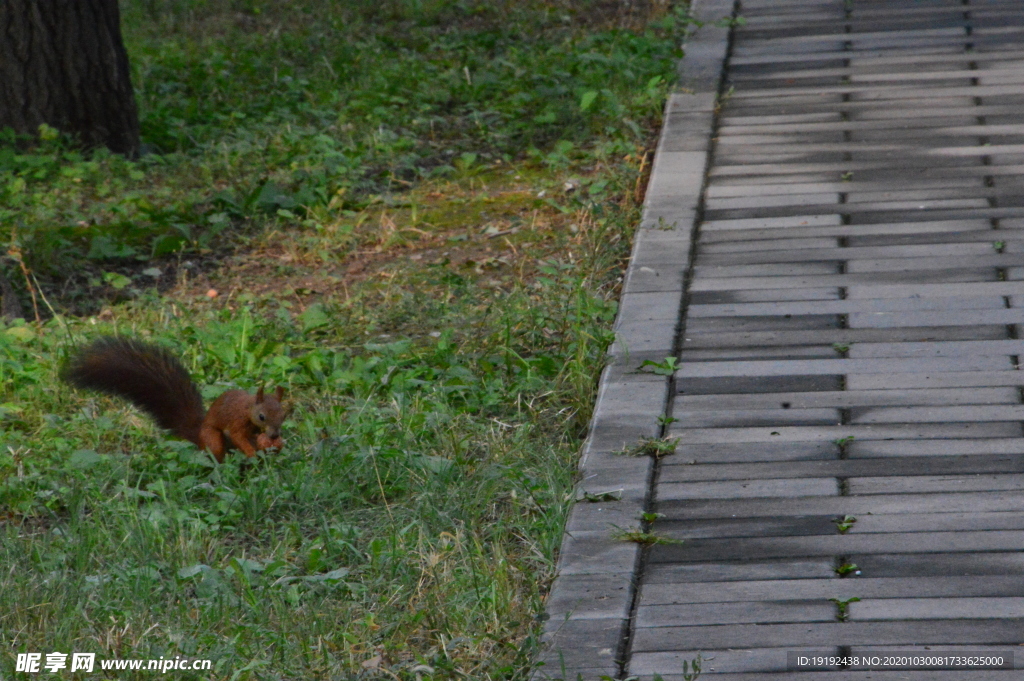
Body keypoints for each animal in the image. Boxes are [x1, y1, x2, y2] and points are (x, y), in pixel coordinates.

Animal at [63, 335, 288, 462]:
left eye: (284, 415)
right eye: (261, 416)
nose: (274, 435)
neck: (248, 408)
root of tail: (198, 434)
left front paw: (276, 445)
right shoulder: (237, 421)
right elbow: (239, 435)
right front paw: (251, 452)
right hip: (213, 439)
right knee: (216, 453)